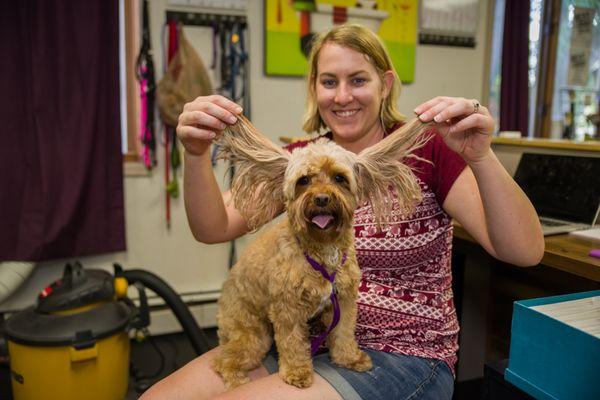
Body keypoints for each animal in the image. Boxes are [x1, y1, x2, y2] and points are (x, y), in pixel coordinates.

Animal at [211, 115, 432, 388]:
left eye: (339, 178)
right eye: (304, 180)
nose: (322, 199)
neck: (323, 251)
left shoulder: (343, 303)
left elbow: (344, 333)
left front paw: (349, 358)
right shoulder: (288, 310)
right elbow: (293, 343)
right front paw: (297, 372)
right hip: (252, 334)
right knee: (223, 361)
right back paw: (236, 380)